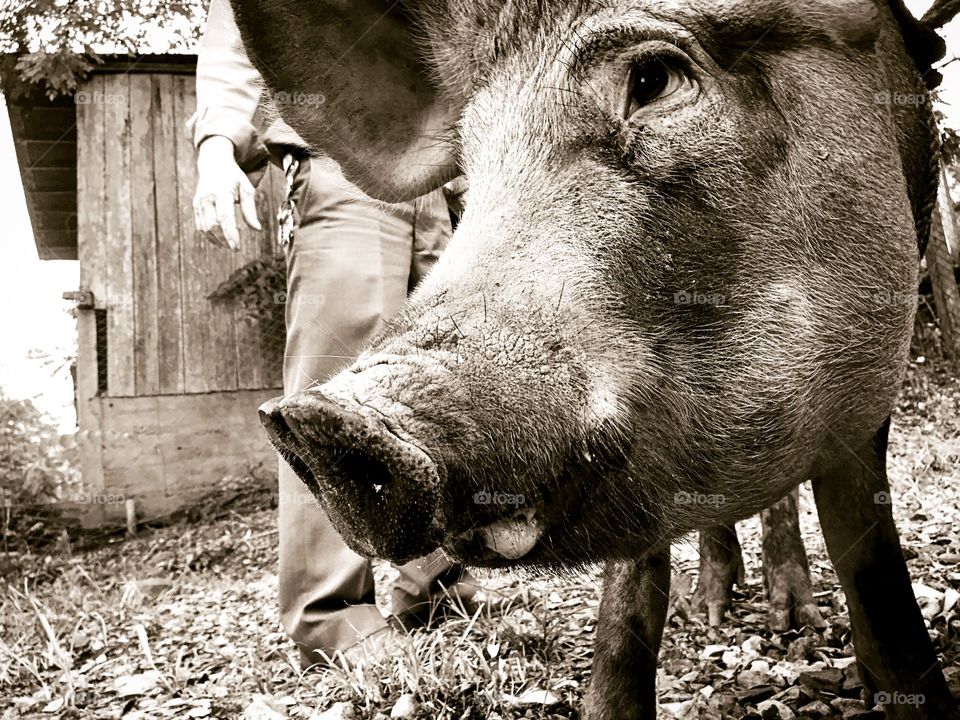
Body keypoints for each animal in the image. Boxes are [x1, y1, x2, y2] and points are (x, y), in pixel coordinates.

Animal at [231, 0, 956, 717]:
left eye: (653, 79)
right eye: (470, 161)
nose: (317, 419)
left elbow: (866, 549)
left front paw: (896, 686)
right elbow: (633, 579)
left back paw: (787, 618)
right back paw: (710, 608)